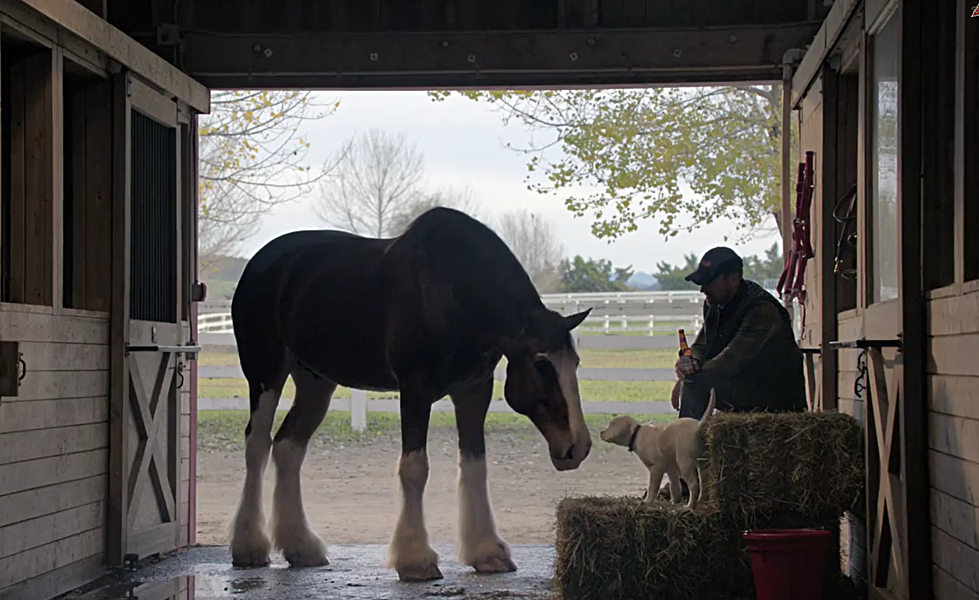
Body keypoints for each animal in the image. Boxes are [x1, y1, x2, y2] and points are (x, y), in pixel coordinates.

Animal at [229, 207, 592, 580]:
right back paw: (249, 546)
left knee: (288, 446)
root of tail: (261, 263)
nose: (578, 447)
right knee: (258, 445)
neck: (453, 291)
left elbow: (475, 465)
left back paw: (301, 547)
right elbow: (415, 468)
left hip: (316, 383)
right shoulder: (415, 389)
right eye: (541, 364)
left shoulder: (474, 390)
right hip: (265, 373)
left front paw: (488, 552)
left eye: (575, 362)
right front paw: (415, 558)